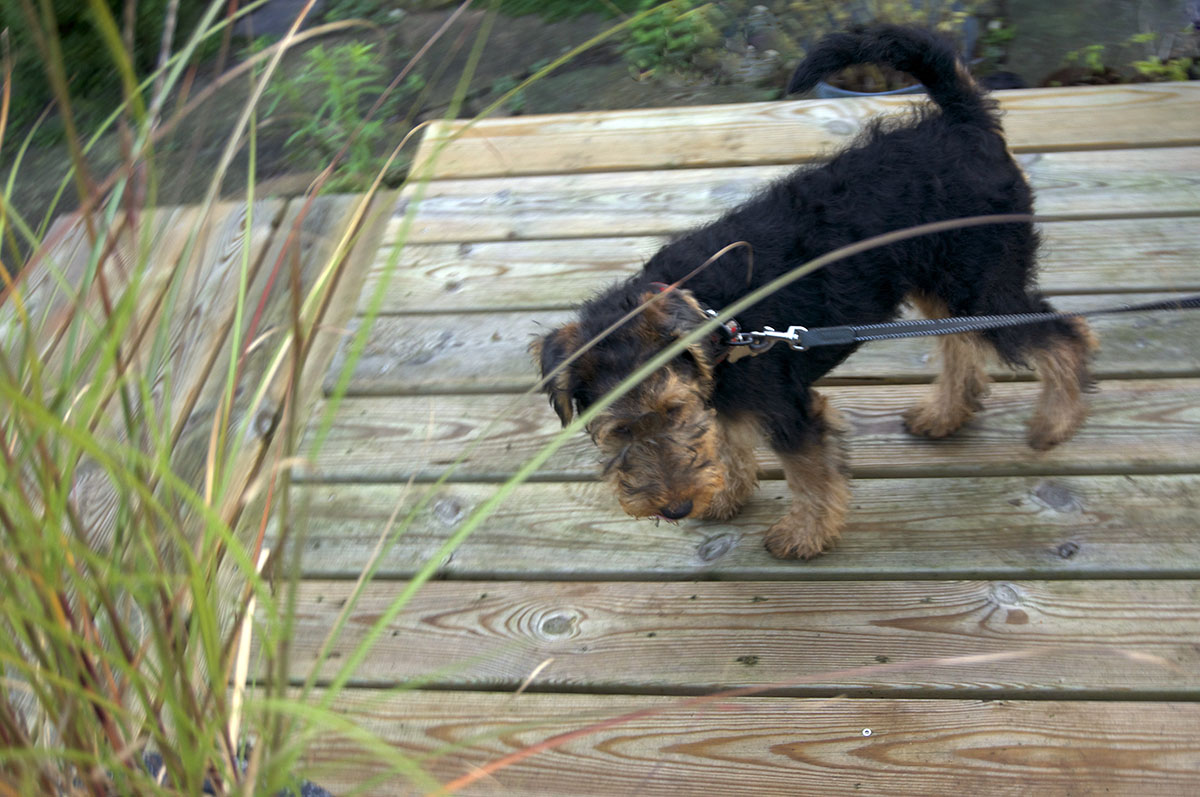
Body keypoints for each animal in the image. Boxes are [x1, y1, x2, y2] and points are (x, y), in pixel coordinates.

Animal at [535, 24, 1099, 559]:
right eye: (619, 430)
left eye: (673, 411)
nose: (676, 507)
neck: (720, 328)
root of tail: (964, 119)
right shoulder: (726, 399)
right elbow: (729, 442)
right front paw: (726, 496)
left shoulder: (788, 411)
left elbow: (809, 477)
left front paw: (803, 535)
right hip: (946, 284)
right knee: (963, 343)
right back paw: (944, 415)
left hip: (981, 286)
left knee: (1065, 334)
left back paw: (1054, 424)